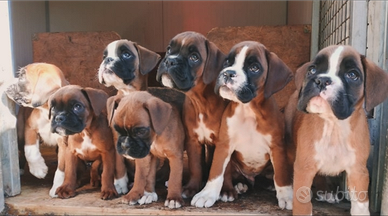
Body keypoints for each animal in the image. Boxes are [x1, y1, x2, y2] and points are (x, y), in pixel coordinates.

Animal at [157, 30, 229, 197]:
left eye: (194, 57)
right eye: (169, 49)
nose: (170, 61)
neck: (201, 102)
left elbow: (225, 169)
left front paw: (228, 190)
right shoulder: (193, 142)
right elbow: (196, 166)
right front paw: (191, 187)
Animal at [191, 41, 294, 209]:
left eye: (254, 68)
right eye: (227, 62)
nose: (228, 73)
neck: (248, 110)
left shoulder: (277, 147)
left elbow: (281, 175)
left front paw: (287, 196)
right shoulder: (224, 145)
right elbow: (216, 172)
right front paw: (207, 194)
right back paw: (239, 184)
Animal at [284, 44, 388, 215]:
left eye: (352, 75)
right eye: (312, 70)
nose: (321, 80)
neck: (334, 126)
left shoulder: (358, 171)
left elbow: (361, 203)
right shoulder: (304, 167)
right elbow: (303, 204)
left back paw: (326, 191)